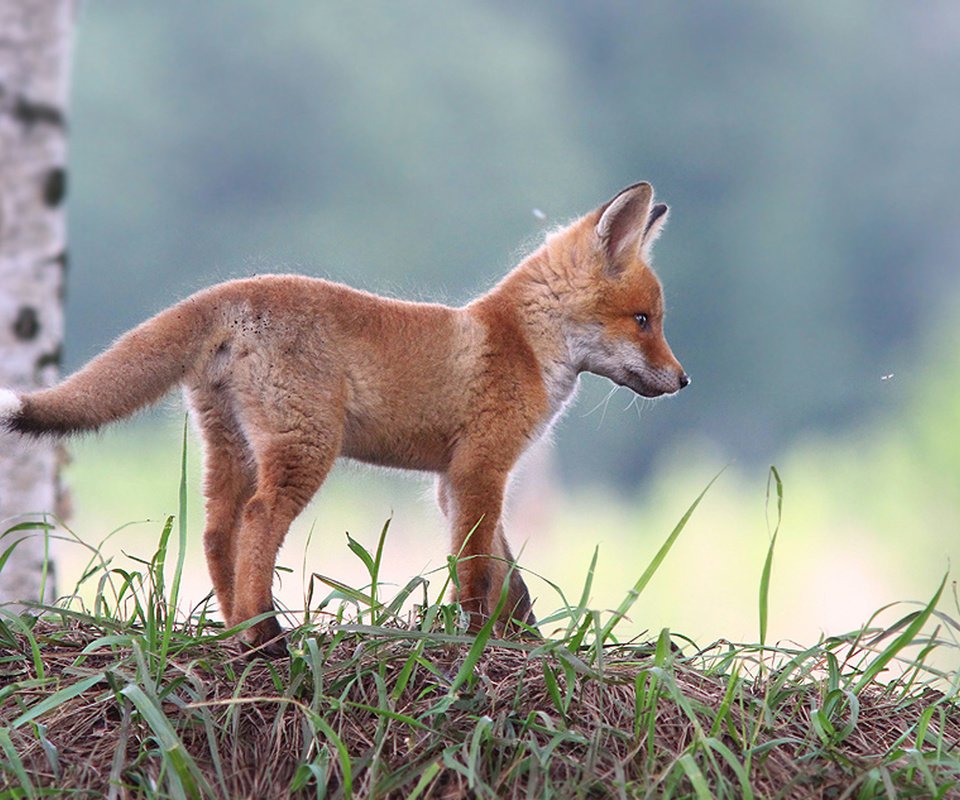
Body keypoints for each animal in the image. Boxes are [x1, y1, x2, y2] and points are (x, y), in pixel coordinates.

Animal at [0, 183, 688, 656]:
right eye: (643, 321)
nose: (684, 381)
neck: (522, 342)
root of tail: (234, 292)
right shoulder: (481, 469)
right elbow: (475, 571)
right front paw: (474, 642)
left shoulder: (455, 481)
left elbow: (507, 573)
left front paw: (525, 643)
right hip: (307, 449)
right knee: (257, 522)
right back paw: (267, 638)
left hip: (234, 450)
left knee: (218, 533)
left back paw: (240, 630)